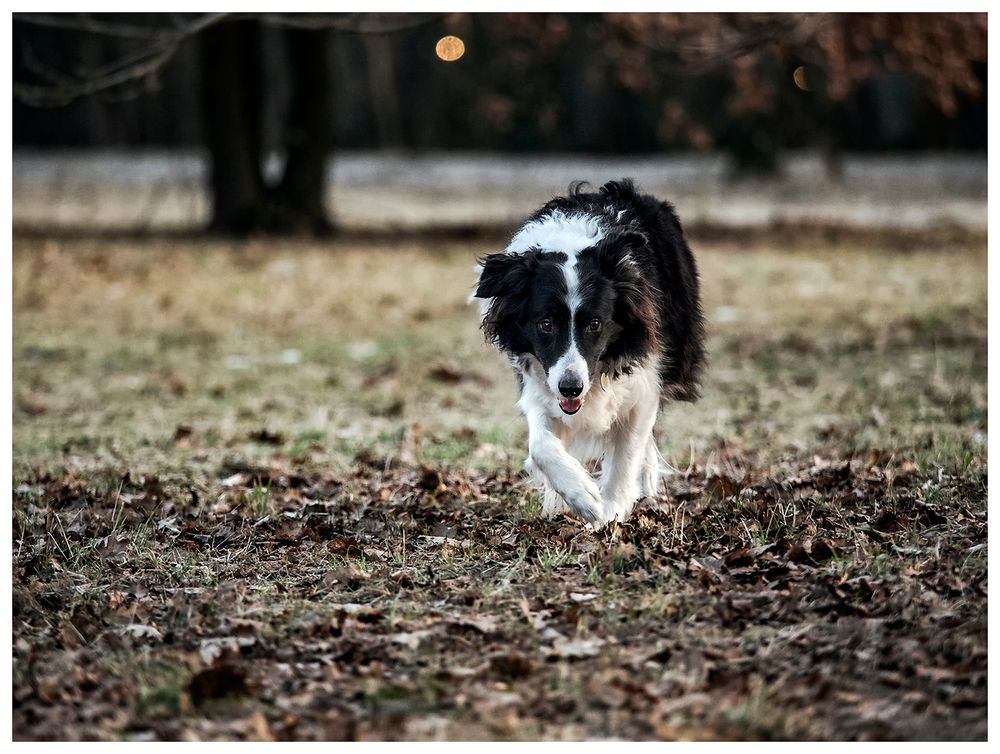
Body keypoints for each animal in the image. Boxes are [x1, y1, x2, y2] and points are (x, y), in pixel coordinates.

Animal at [474, 179, 704, 524]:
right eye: (545, 325)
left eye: (595, 324)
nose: (571, 388)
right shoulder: (541, 377)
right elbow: (540, 445)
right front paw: (581, 496)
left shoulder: (643, 373)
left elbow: (627, 448)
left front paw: (608, 513)